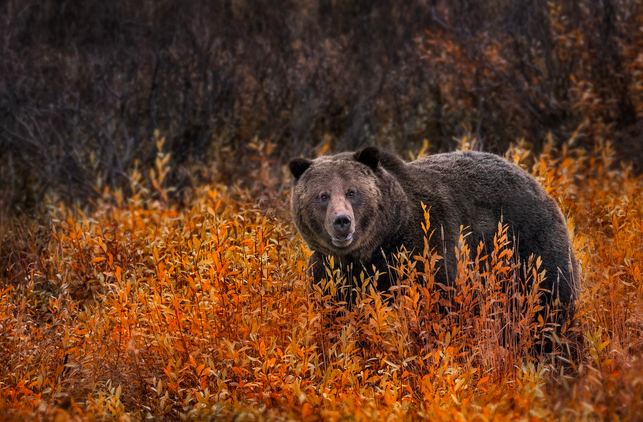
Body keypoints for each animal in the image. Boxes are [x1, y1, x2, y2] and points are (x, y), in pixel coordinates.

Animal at [290, 148, 580, 316]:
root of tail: (536, 182)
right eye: (323, 195)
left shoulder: (426, 251)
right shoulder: (330, 274)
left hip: (528, 248)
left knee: (552, 304)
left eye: (352, 192)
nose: (342, 221)